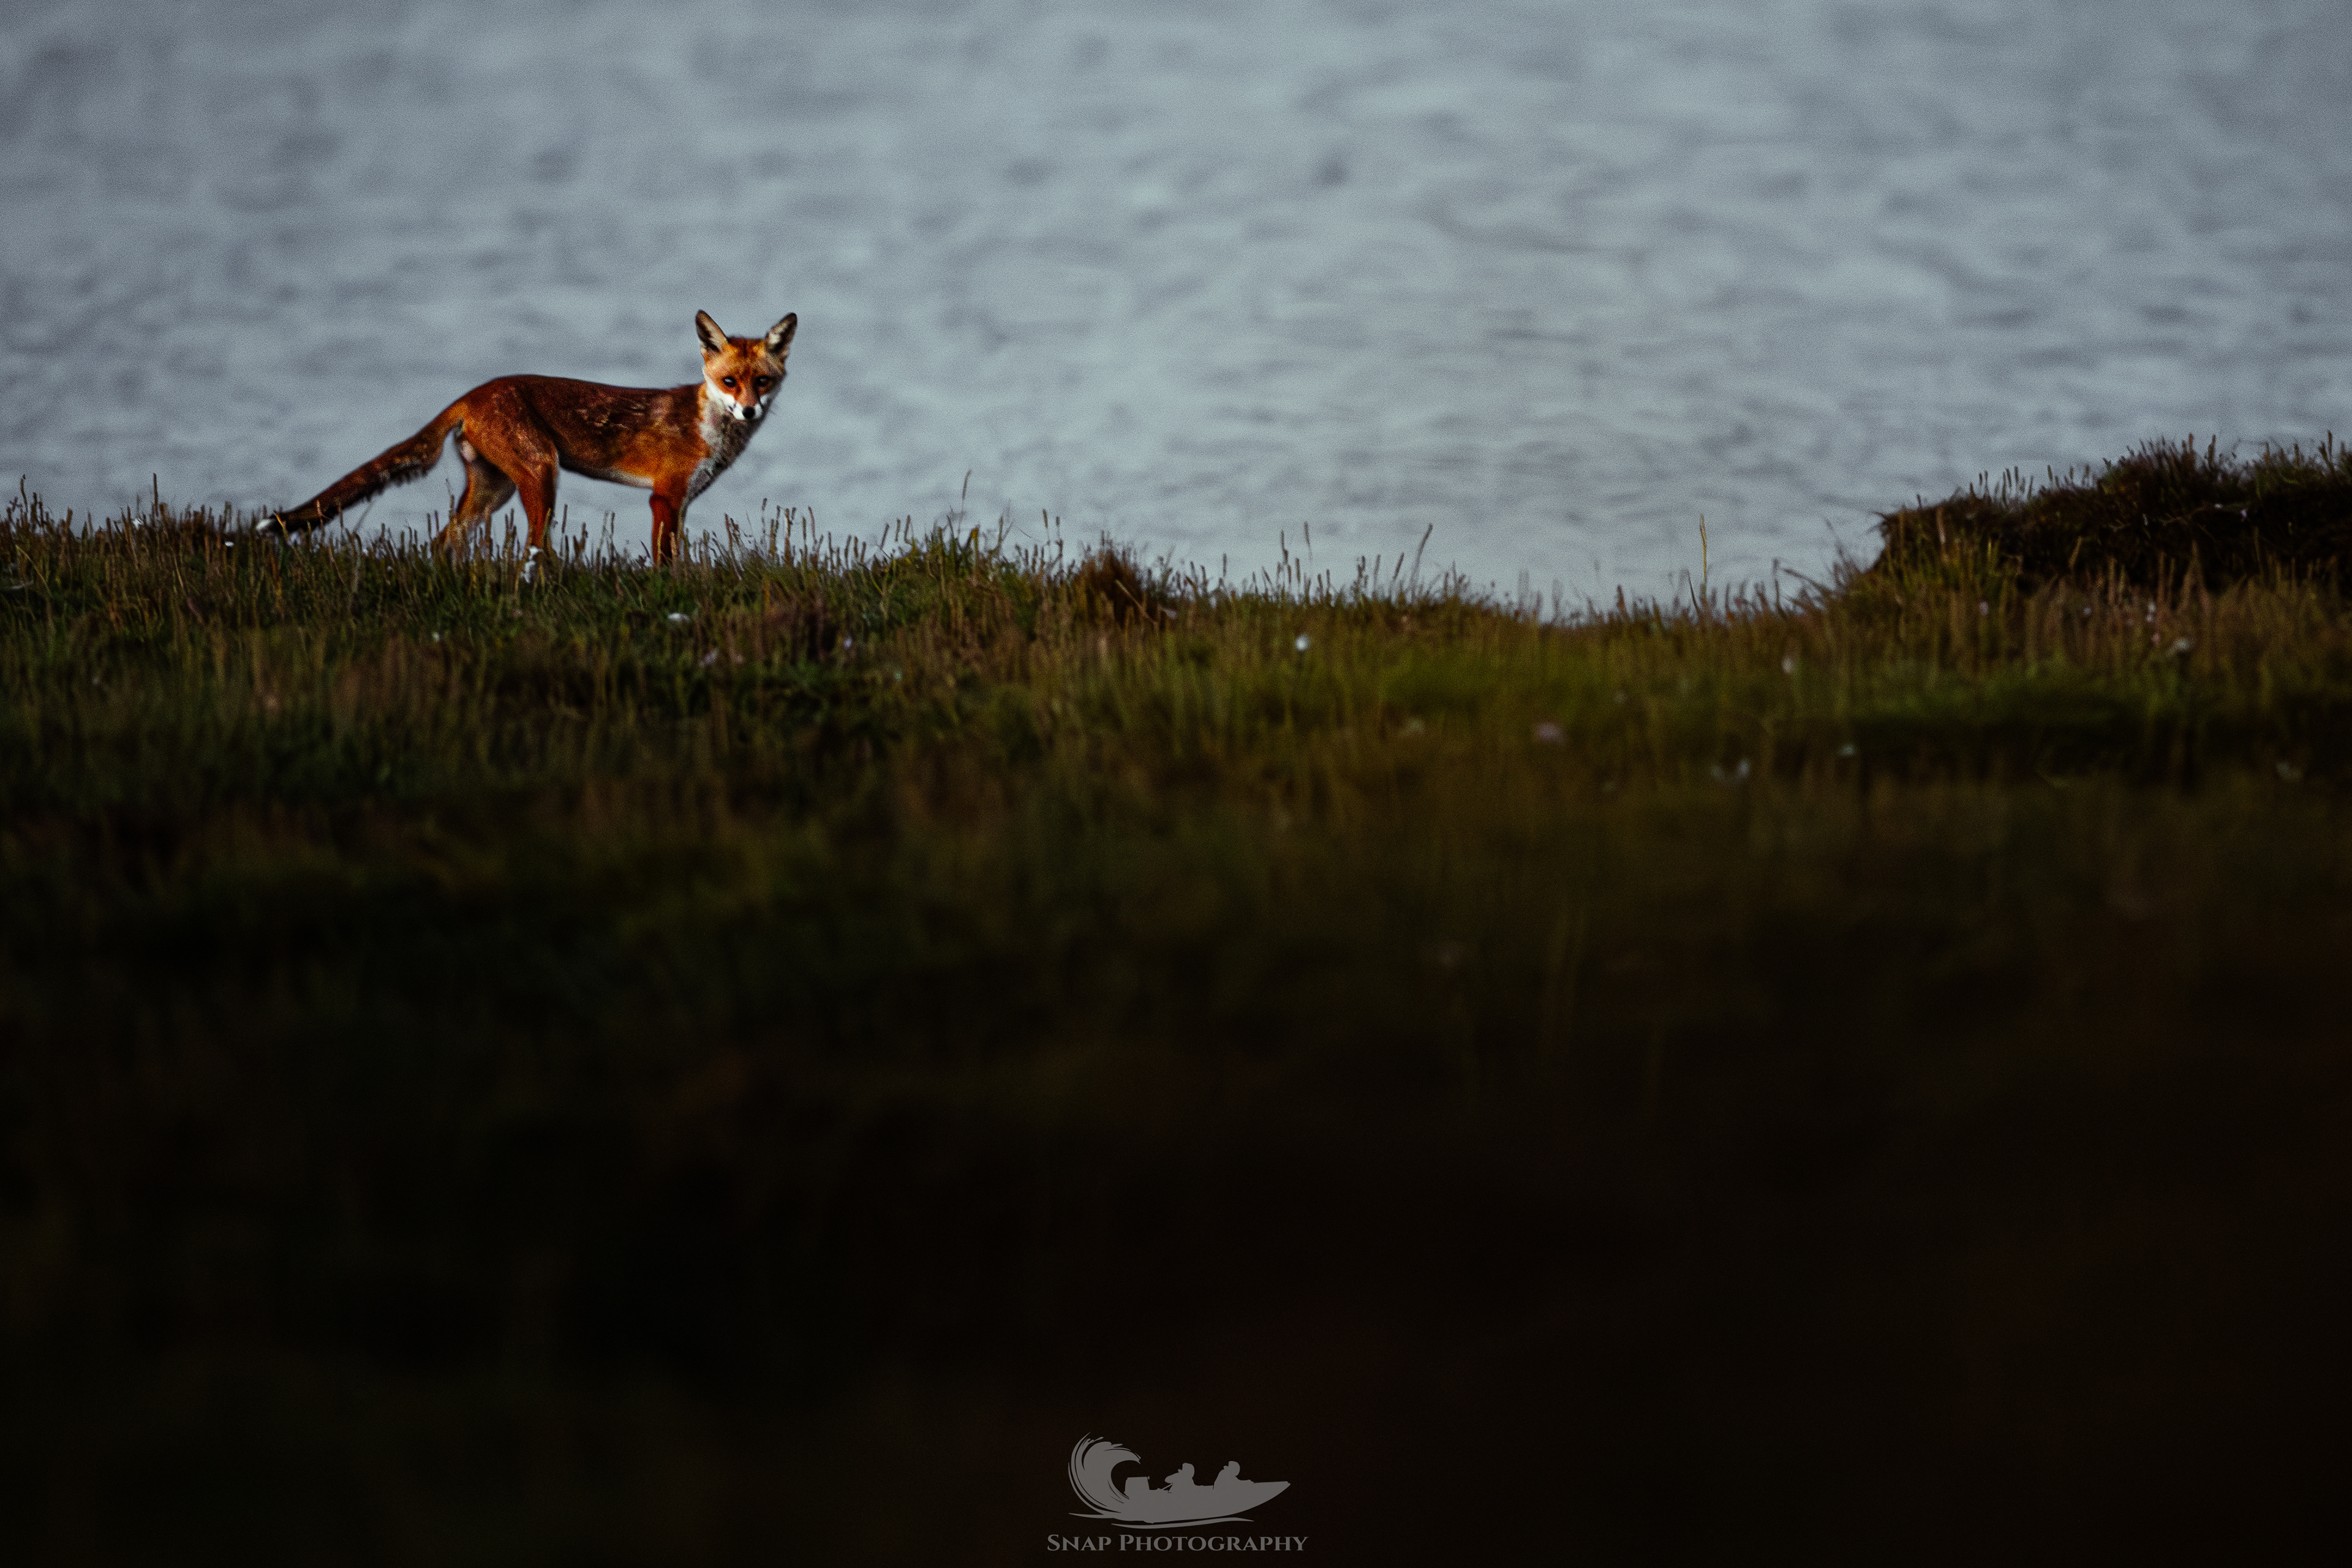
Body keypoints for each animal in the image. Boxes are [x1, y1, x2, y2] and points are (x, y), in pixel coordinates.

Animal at [267, 310, 796, 562]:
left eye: (762, 381)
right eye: (729, 382)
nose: (750, 410)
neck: (708, 428)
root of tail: (475, 392)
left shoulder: (682, 502)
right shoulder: (664, 498)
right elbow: (666, 564)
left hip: (493, 492)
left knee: (443, 543)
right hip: (542, 474)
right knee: (531, 551)